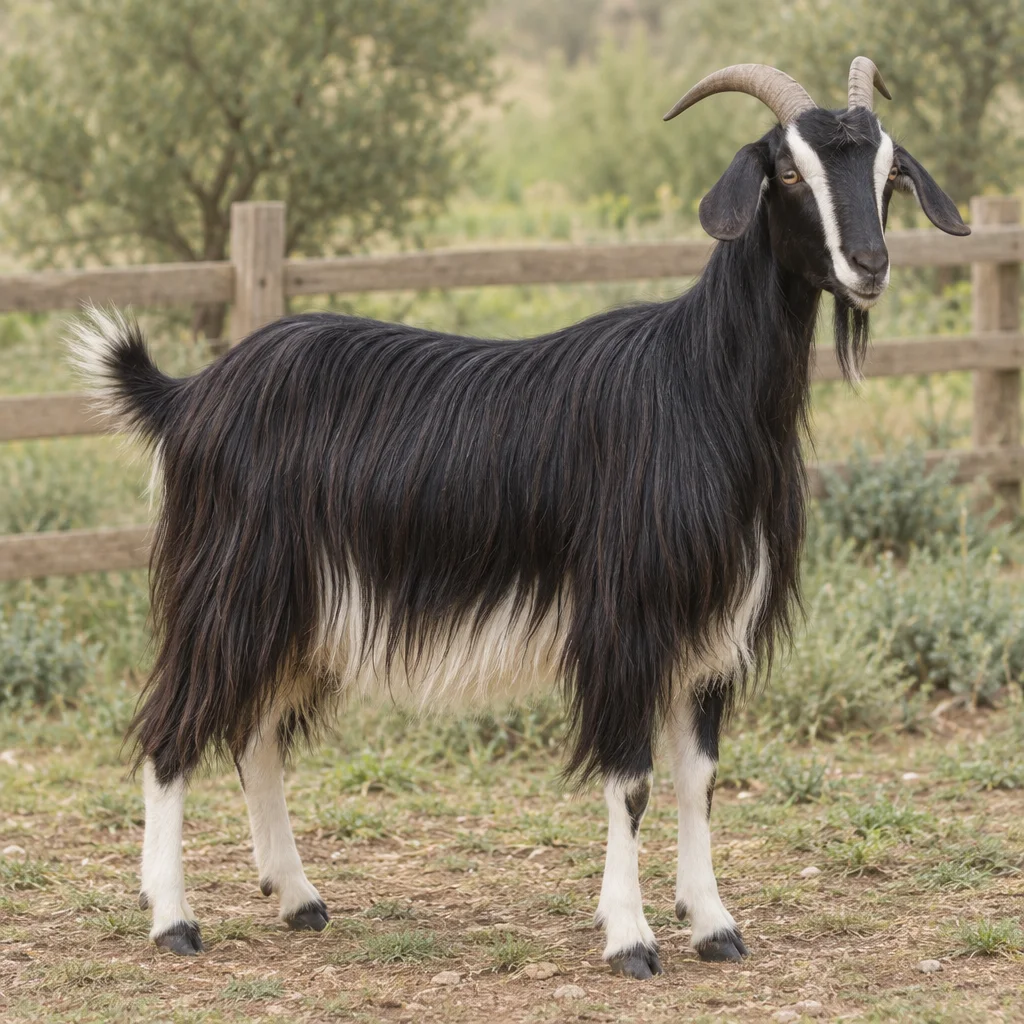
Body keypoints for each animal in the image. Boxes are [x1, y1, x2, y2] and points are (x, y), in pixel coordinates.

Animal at [69, 58, 967, 977]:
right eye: (787, 171)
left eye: (890, 172)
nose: (869, 265)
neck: (701, 388)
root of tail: (188, 396)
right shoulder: (626, 616)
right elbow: (631, 779)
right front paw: (631, 936)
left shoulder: (714, 626)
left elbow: (701, 778)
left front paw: (714, 924)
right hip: (230, 583)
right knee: (173, 730)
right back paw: (173, 918)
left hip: (300, 608)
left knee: (256, 735)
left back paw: (297, 897)